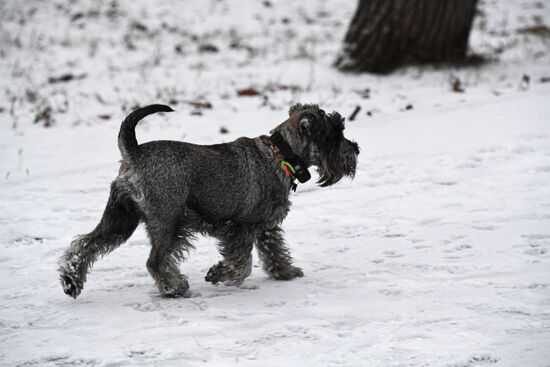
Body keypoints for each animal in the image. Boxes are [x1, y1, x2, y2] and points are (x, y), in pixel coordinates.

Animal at [59, 103, 362, 300]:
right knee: (154, 261)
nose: (356, 149)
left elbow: (273, 251)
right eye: (334, 133)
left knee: (85, 244)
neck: (281, 154)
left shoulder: (265, 226)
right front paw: (219, 274)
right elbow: (242, 262)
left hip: (120, 218)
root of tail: (132, 153)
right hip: (169, 222)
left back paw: (71, 280)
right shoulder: (242, 227)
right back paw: (175, 288)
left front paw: (285, 272)